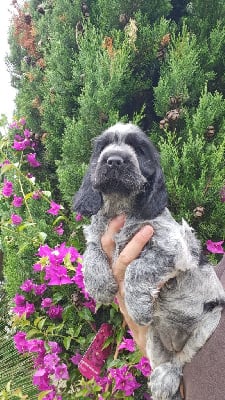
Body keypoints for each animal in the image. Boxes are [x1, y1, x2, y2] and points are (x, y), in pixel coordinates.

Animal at [73, 122, 224, 400]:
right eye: (102, 147)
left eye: (139, 150)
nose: (113, 160)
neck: (121, 206)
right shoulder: (98, 234)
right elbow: (91, 251)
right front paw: (100, 285)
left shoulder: (173, 248)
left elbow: (137, 267)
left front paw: (138, 306)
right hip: (154, 339)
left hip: (208, 323)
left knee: (180, 360)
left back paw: (166, 378)